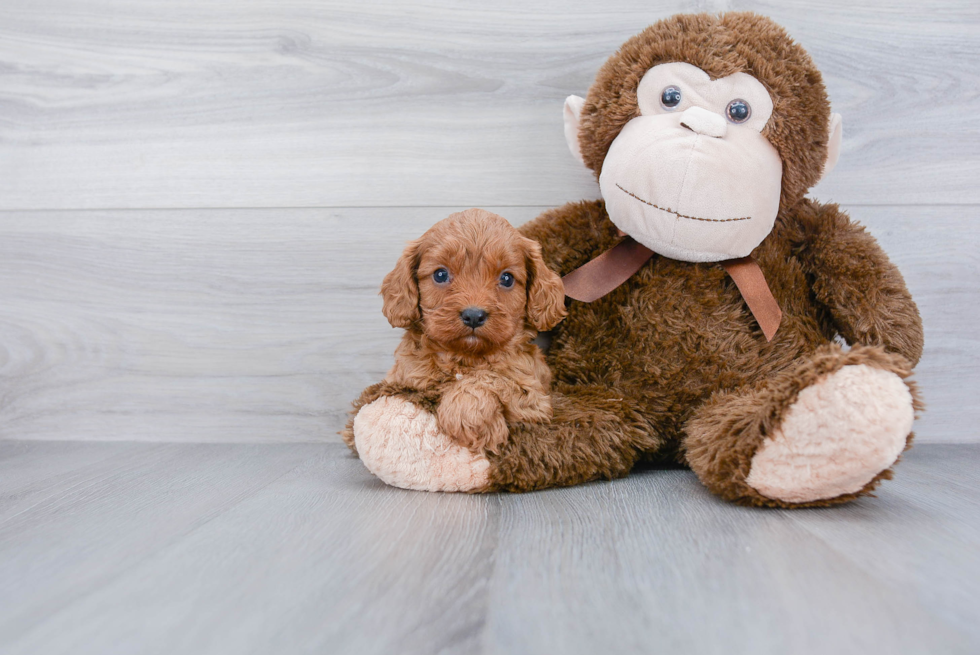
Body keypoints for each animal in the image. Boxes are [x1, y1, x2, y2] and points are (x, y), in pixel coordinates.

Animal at [374, 208, 568, 454]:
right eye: (440, 275)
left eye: (507, 278)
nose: (474, 315)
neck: (463, 357)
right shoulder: (402, 382)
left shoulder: (535, 397)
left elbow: (487, 377)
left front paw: (469, 419)